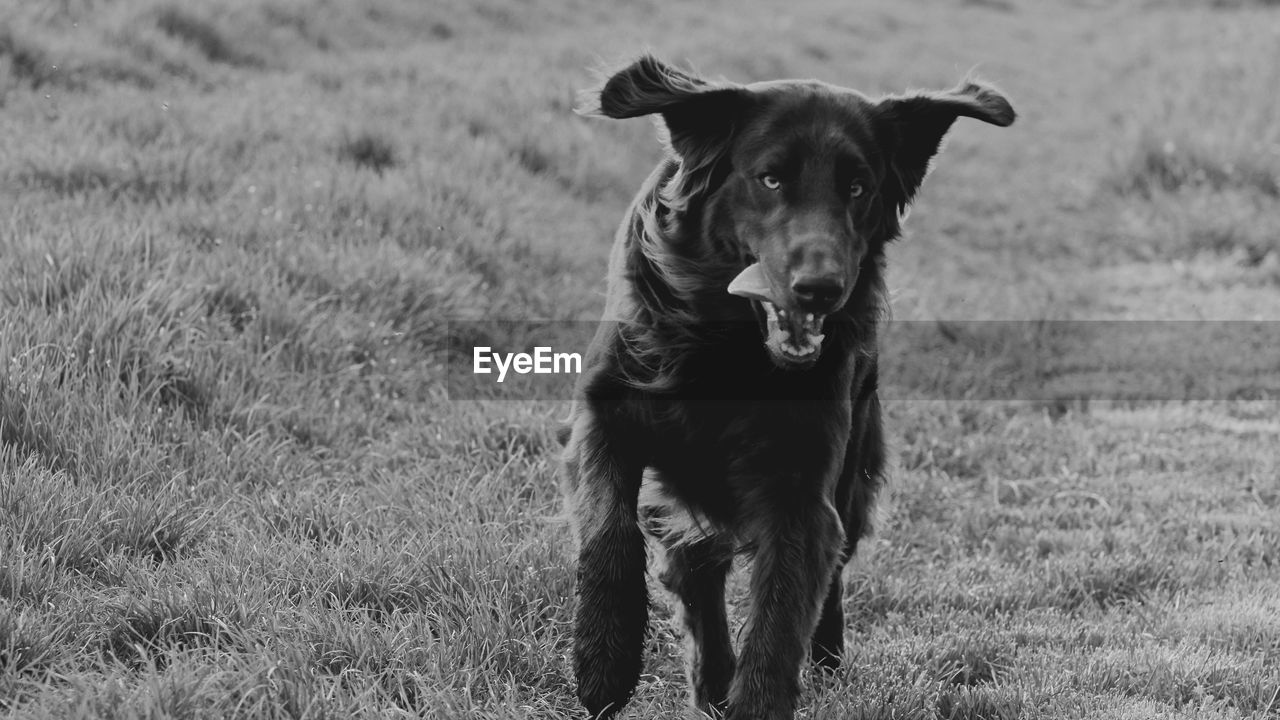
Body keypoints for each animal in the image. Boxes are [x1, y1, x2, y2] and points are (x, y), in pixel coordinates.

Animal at [565, 57, 1013, 717]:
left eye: (858, 188)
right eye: (770, 179)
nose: (821, 289)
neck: (728, 349)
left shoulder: (801, 492)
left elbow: (780, 621)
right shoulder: (605, 412)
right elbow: (608, 530)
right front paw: (605, 660)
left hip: (854, 471)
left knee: (829, 574)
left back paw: (819, 657)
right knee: (696, 570)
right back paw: (709, 679)